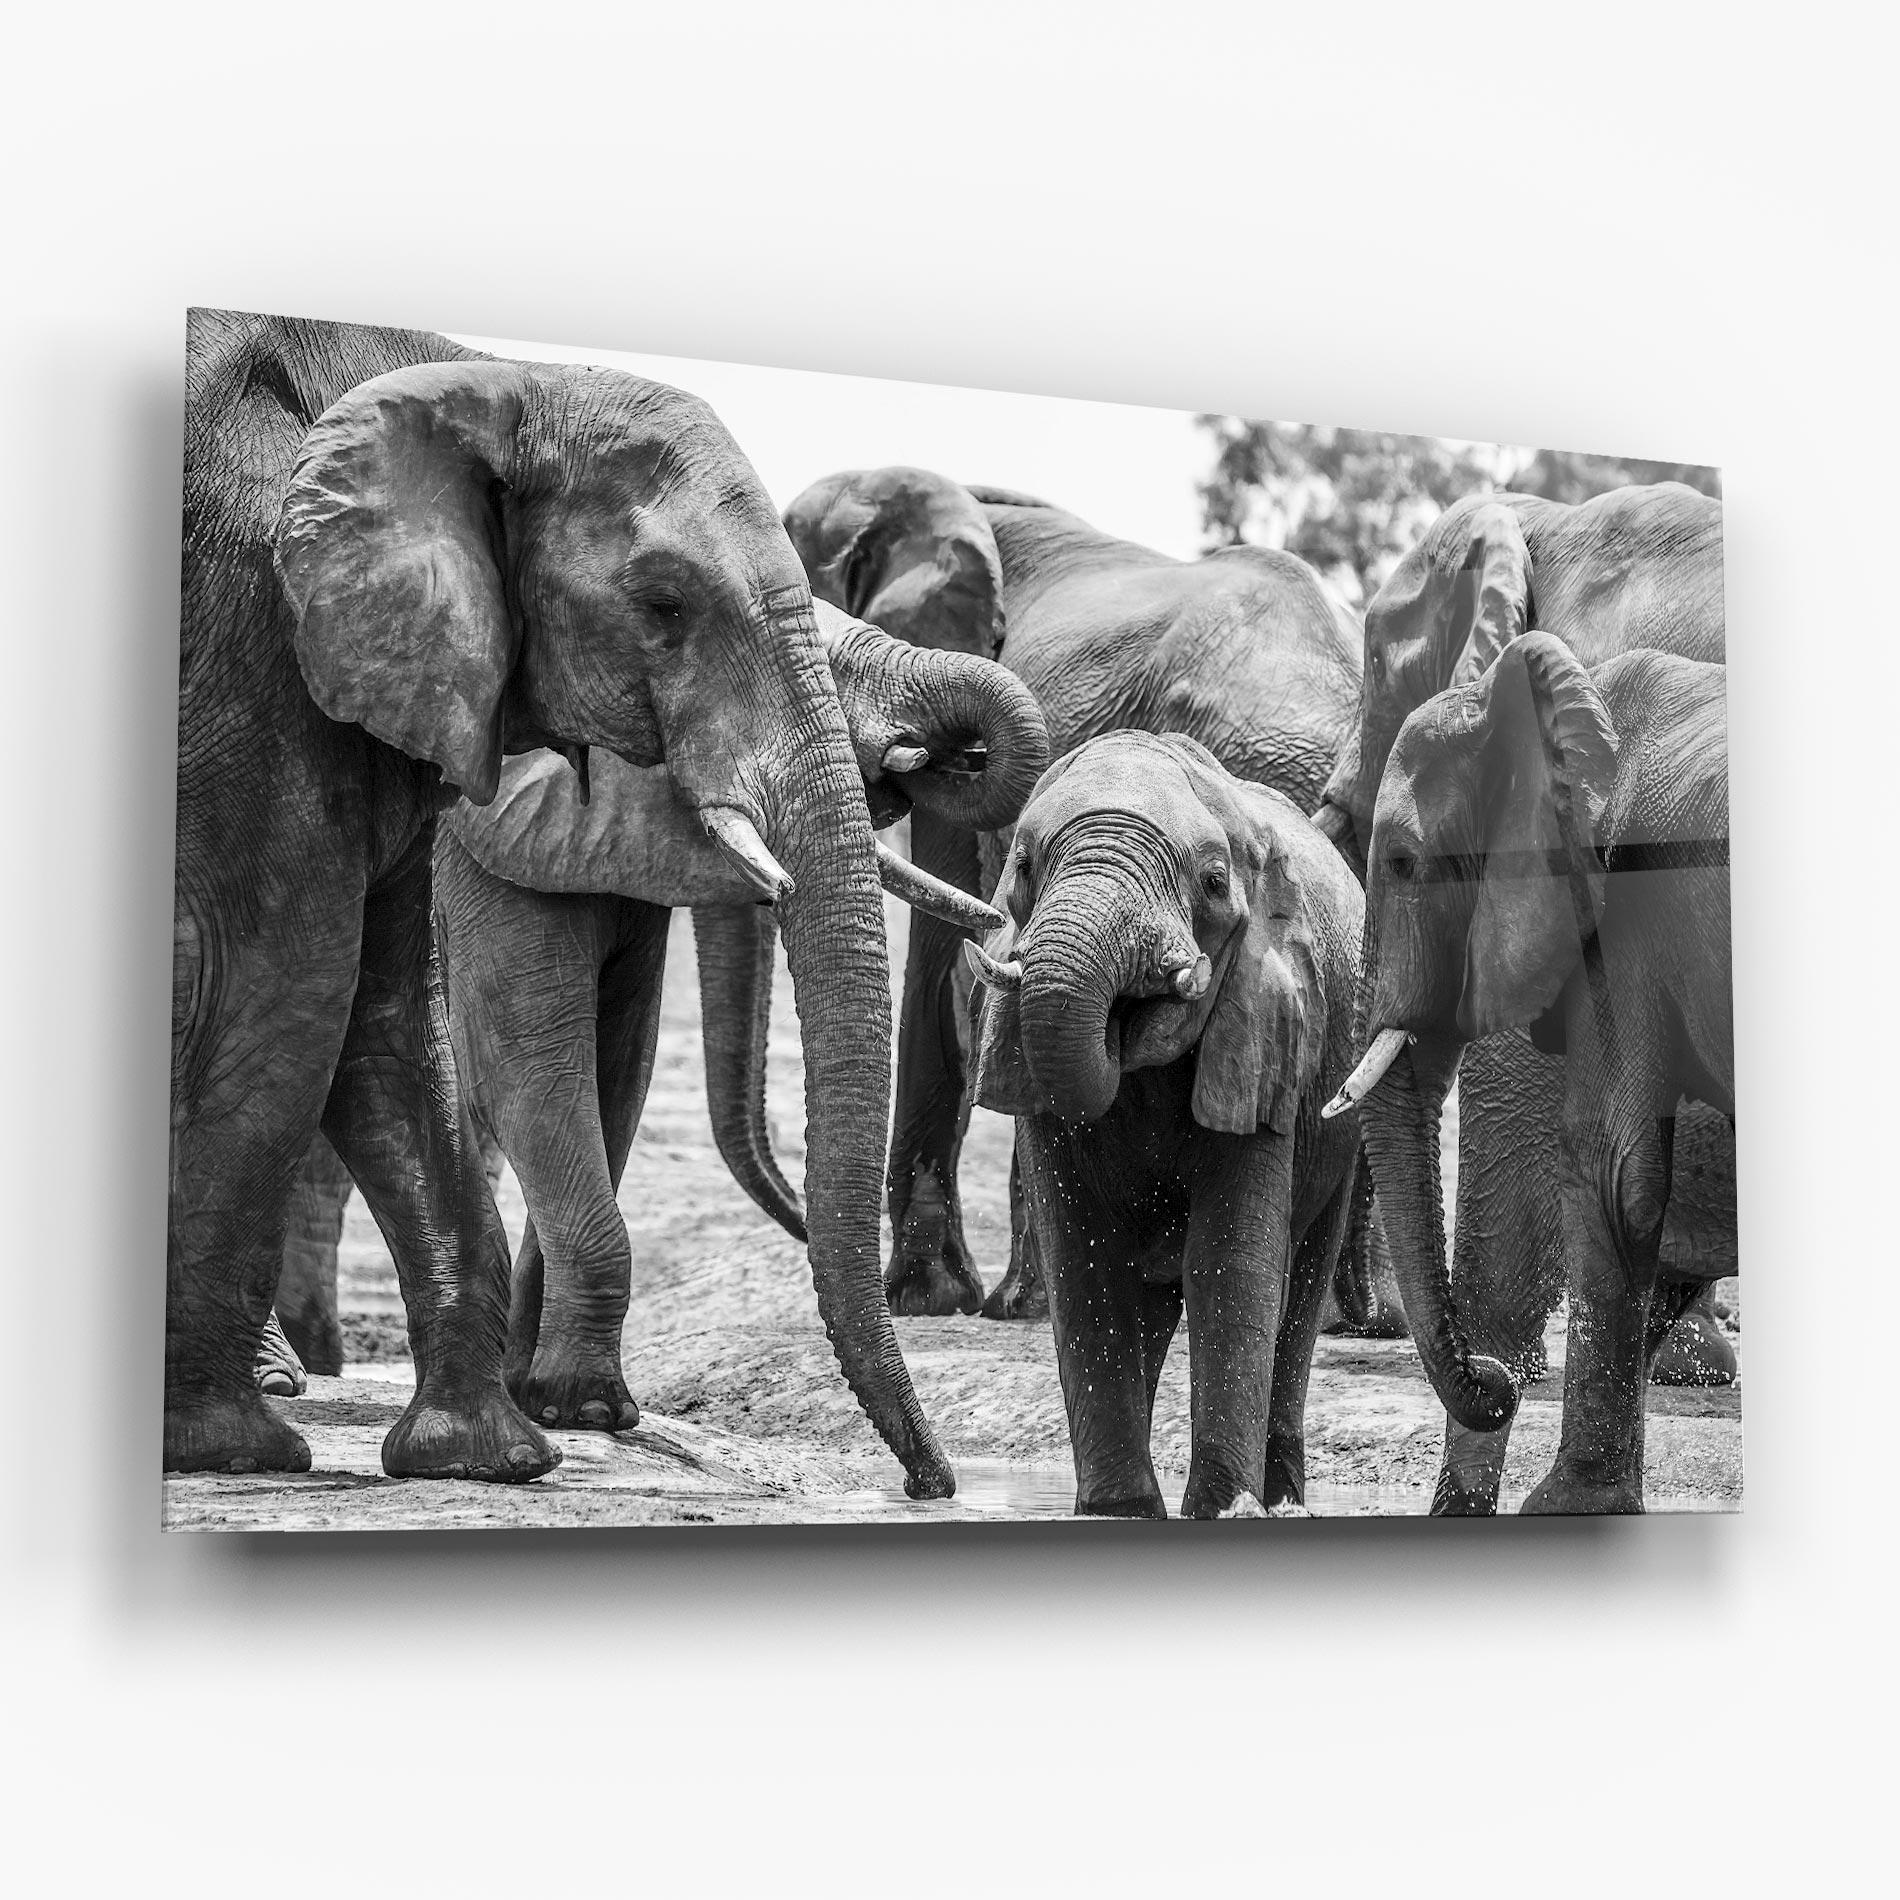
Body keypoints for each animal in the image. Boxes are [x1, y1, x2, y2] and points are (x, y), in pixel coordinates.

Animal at [170, 309, 954, 1499]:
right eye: (666, 608)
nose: (928, 1482)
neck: (490, 380)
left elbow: (402, 1023)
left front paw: (497, 1449)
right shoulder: (261, 649)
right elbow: (314, 993)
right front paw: (231, 1448)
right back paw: (264, 1391)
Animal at [969, 732, 1364, 1519]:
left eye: (1212, 882)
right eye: (1022, 866)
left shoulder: (1268, 1029)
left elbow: (1229, 1265)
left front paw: (1225, 1510)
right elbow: (1087, 1266)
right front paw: (1117, 1512)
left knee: (1301, 1290)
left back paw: (1284, 1502)